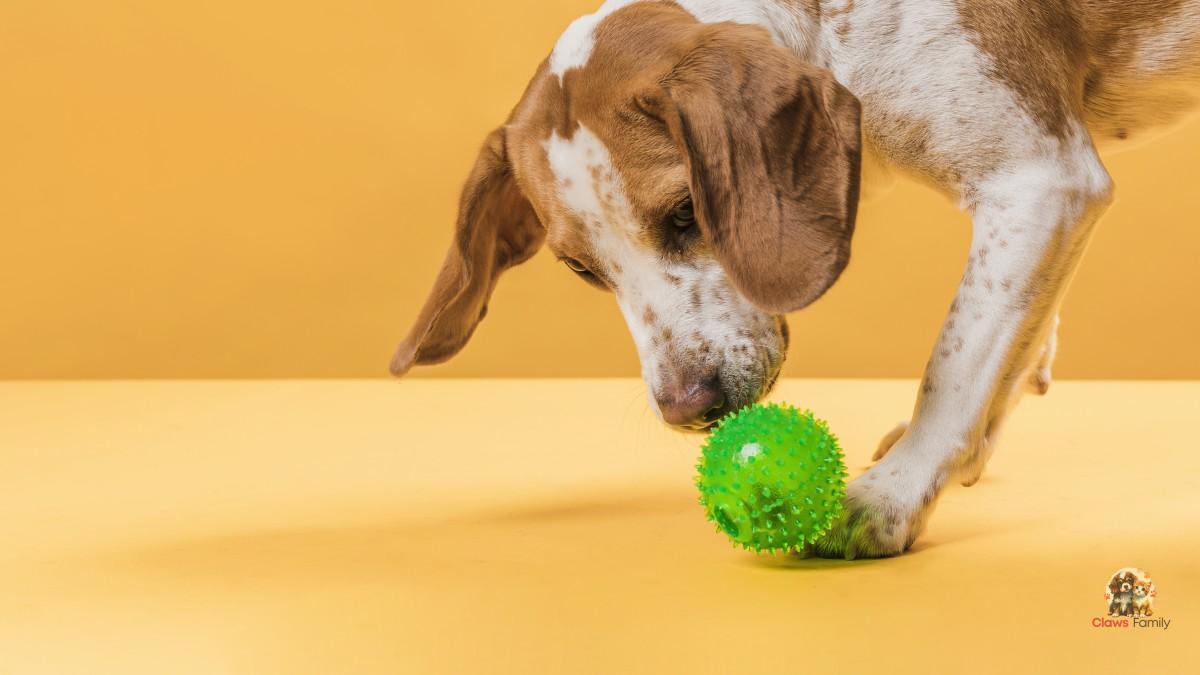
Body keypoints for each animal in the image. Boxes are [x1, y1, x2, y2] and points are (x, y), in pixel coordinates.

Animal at [393, 1, 1200, 557]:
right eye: (581, 267)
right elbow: (1011, 340)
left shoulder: (1039, 180)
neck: (832, 24)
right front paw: (968, 452)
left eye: (686, 212)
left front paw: (892, 496)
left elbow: (957, 361)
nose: (686, 407)